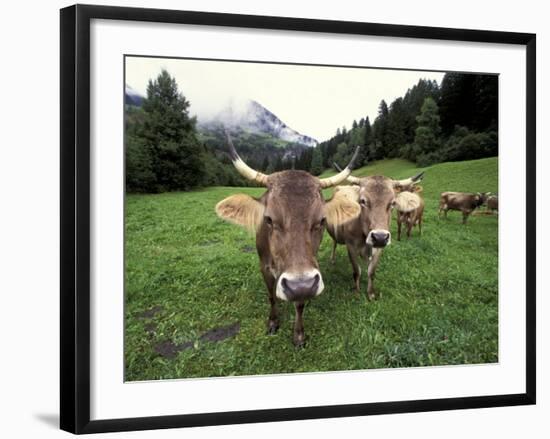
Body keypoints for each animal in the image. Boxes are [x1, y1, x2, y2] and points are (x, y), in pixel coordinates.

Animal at [218, 131, 364, 348]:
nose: (300, 285)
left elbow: (300, 304)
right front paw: (273, 322)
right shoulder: (264, 267)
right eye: (269, 219)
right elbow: (271, 296)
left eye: (322, 220)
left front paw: (299, 335)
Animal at [328, 168, 426, 300]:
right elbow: (356, 271)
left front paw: (371, 293)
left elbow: (371, 271)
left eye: (393, 203)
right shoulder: (350, 246)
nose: (380, 237)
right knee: (334, 243)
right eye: (362, 201)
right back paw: (332, 259)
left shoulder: (379, 248)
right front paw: (357, 292)